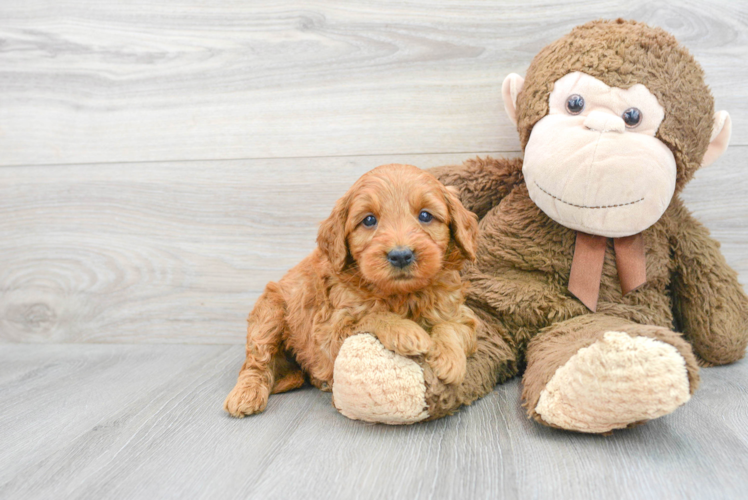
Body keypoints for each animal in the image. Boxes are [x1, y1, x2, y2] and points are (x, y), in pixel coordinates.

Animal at [224, 164, 480, 418]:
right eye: (369, 220)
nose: (400, 255)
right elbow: (373, 316)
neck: (402, 295)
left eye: (425, 215)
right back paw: (246, 394)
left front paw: (450, 359)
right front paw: (406, 331)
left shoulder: (460, 313)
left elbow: (453, 327)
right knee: (256, 361)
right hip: (270, 312)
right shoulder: (329, 332)